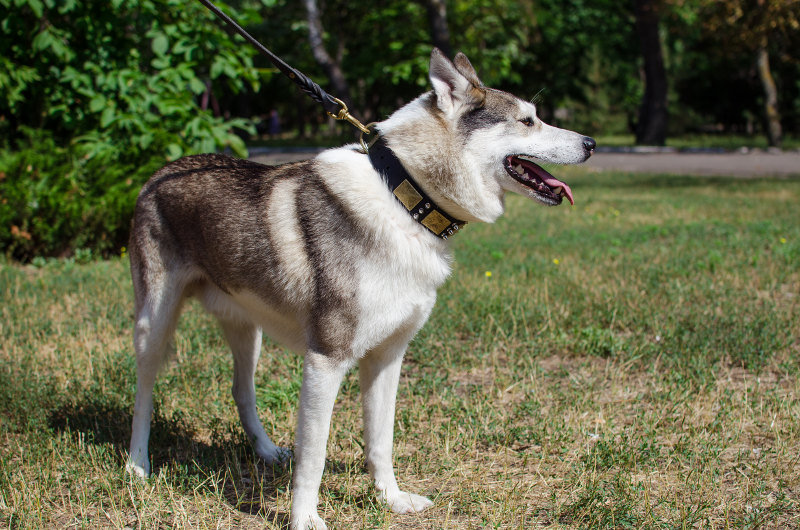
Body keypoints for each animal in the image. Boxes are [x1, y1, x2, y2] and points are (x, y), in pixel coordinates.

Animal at [126, 47, 592, 524]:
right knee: (142, 394)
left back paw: (267, 451)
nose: (591, 144)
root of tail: (159, 172)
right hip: (154, 327)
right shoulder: (325, 361)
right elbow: (314, 457)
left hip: (247, 331)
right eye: (528, 121)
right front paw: (304, 520)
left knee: (241, 391)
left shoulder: (388, 358)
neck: (403, 197)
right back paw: (137, 466)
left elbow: (381, 442)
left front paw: (392, 500)